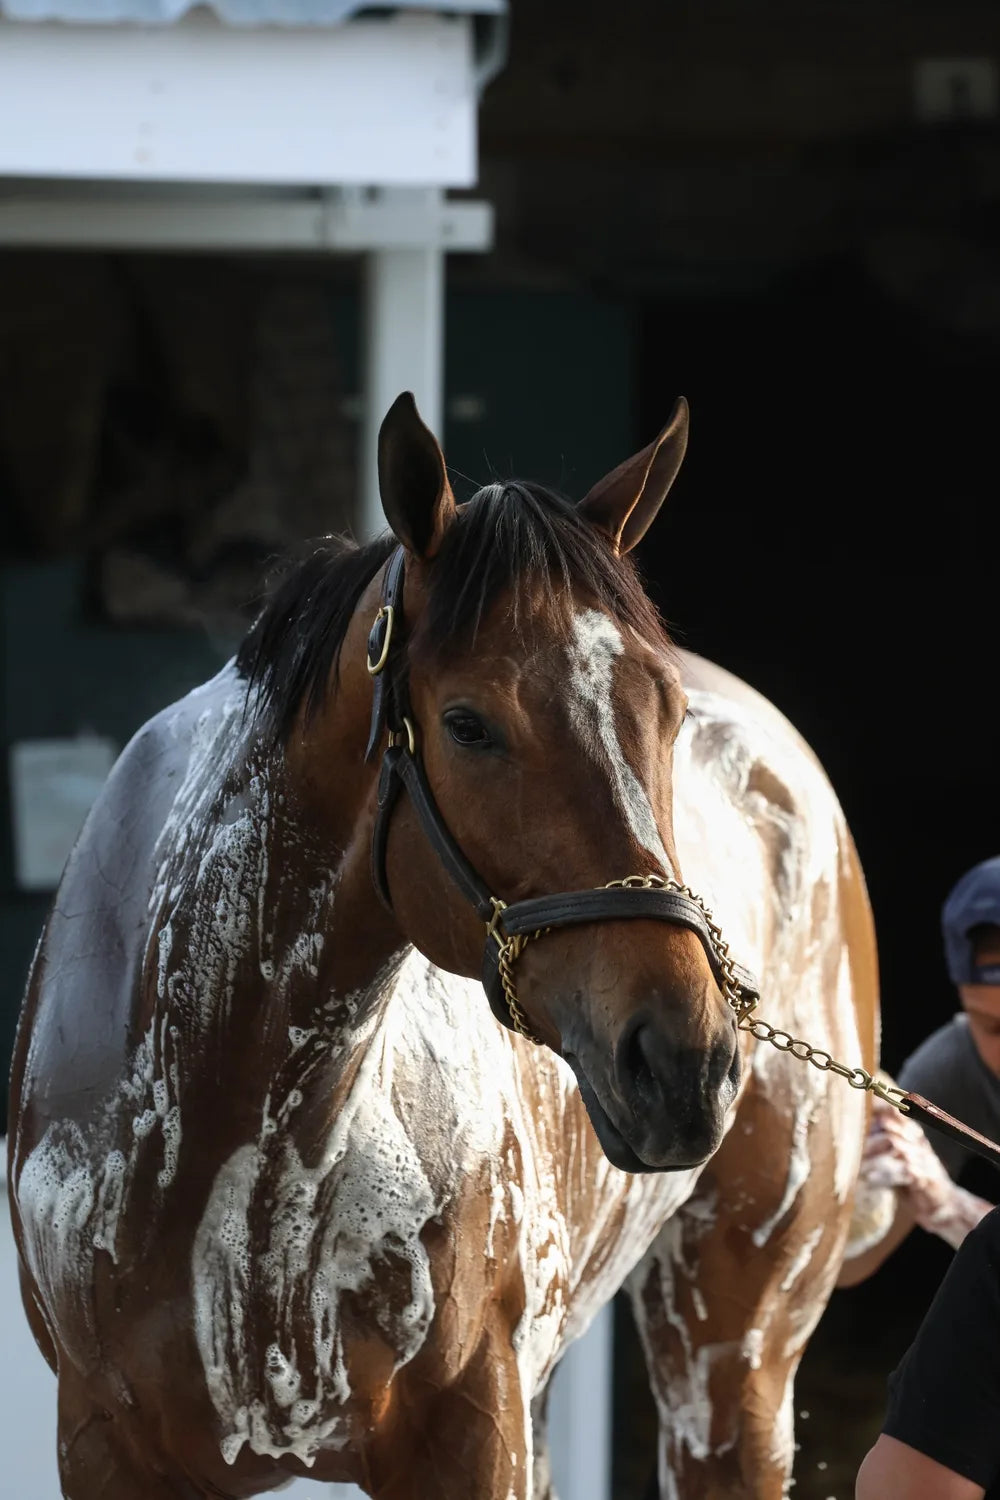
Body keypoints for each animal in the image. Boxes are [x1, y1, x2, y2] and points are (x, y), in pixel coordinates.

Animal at [6, 390, 879, 1500]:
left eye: (668, 712)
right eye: (467, 724)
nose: (687, 1063)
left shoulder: (470, 1431)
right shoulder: (108, 1448)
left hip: (734, 1368)